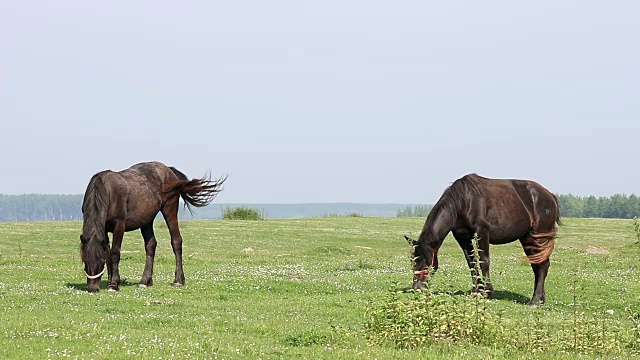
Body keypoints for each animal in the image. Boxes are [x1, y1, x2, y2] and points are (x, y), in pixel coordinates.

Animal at [79, 162, 226, 292]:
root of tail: (170, 171)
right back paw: (145, 281)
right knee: (151, 246)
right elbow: (108, 253)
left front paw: (113, 284)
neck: (107, 191)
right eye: (84, 260)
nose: (92, 288)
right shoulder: (103, 229)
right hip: (146, 221)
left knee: (176, 241)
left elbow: (114, 253)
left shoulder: (119, 226)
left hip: (169, 210)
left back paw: (178, 280)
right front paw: (111, 281)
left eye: (99, 261)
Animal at [404, 173, 560, 306]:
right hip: (527, 237)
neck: (463, 201)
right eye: (413, 261)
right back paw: (540, 299)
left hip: (538, 236)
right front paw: (476, 291)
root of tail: (550, 196)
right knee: (538, 265)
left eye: (425, 261)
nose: (417, 287)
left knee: (543, 266)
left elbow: (484, 261)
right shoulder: (462, 237)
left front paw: (486, 291)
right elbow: (471, 262)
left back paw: (535, 301)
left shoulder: (482, 233)